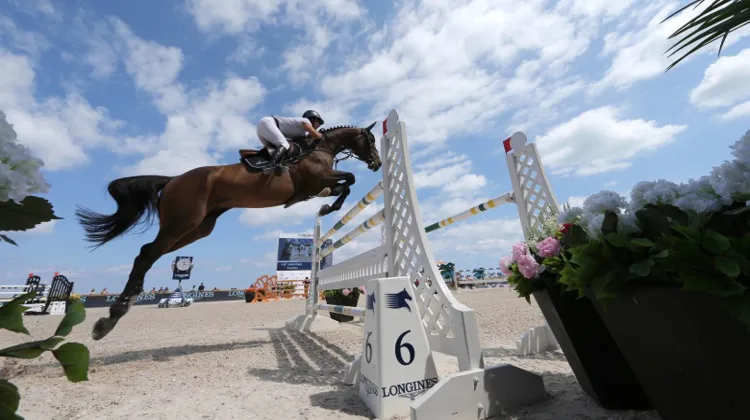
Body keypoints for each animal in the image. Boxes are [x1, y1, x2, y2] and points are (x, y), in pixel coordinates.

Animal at [75, 122, 382, 340]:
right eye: (370, 140)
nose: (377, 163)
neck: (320, 148)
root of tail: (173, 179)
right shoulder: (318, 180)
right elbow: (350, 179)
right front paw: (331, 208)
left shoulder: (320, 186)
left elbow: (344, 185)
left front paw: (328, 206)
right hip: (182, 222)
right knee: (147, 255)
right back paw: (111, 317)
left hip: (198, 228)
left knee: (146, 252)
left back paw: (113, 316)